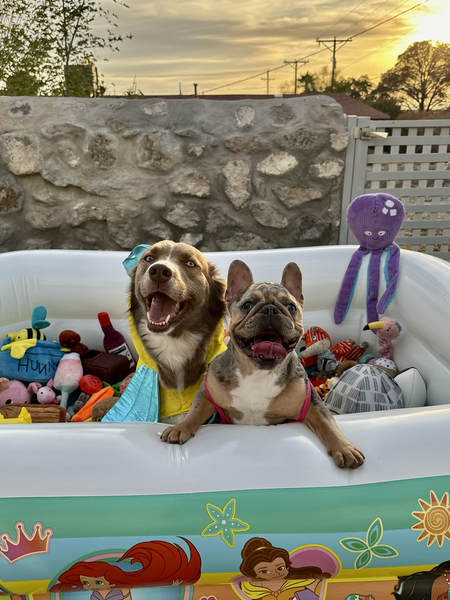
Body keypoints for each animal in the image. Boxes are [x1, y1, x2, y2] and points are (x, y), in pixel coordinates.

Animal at [162, 258, 366, 468]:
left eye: (291, 307)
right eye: (247, 304)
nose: (270, 309)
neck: (257, 372)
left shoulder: (311, 403)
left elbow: (327, 424)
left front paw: (344, 448)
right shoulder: (207, 395)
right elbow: (195, 411)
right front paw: (180, 428)